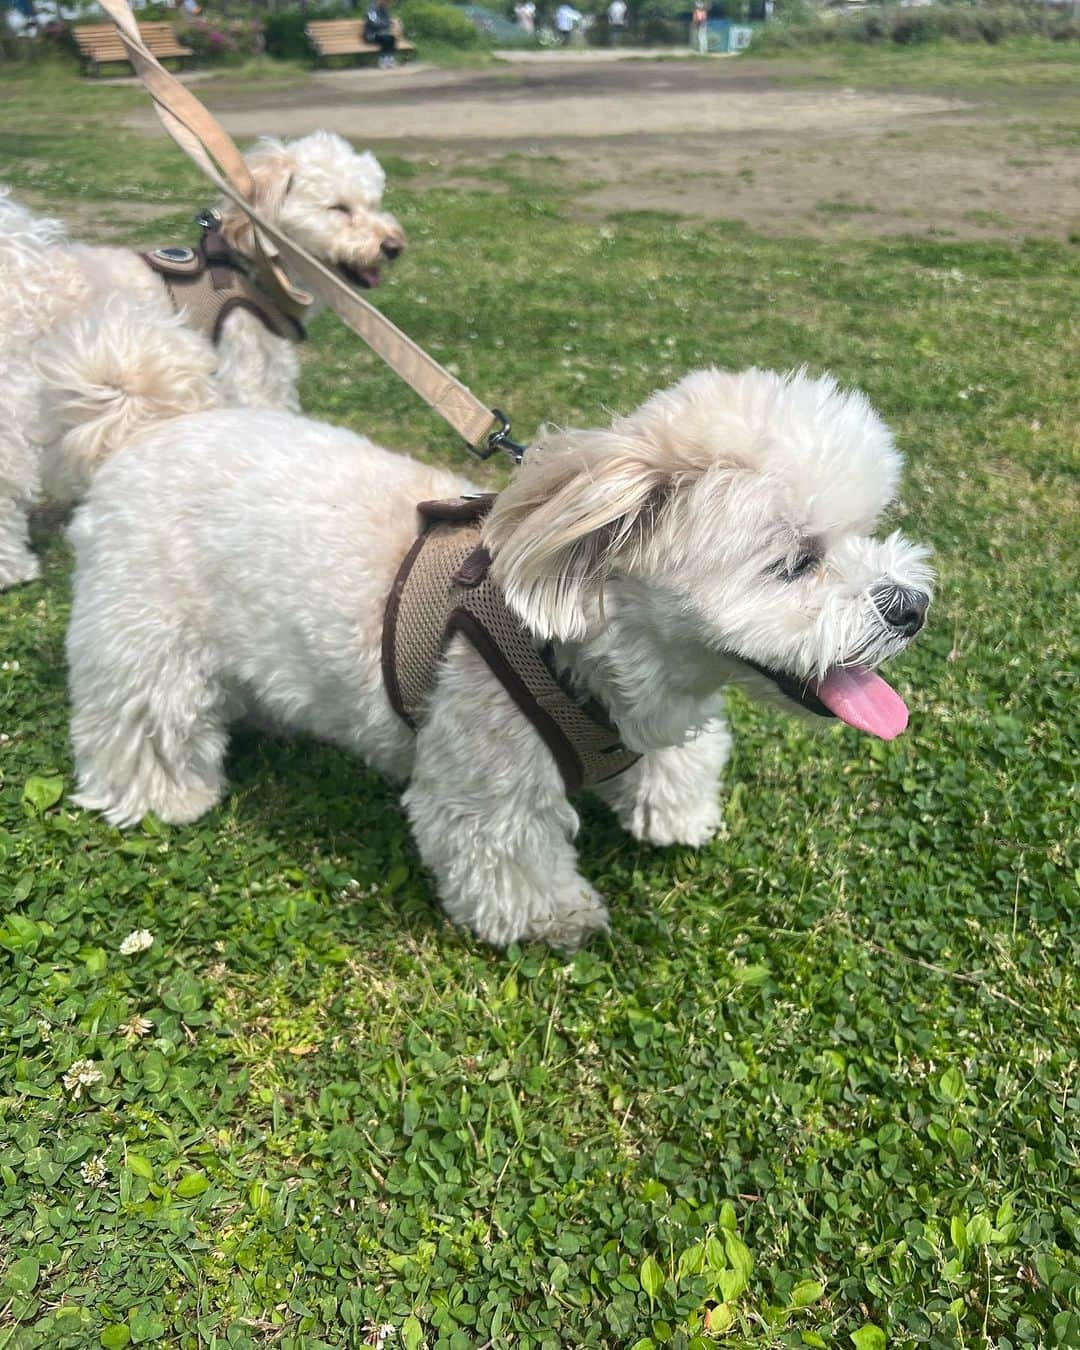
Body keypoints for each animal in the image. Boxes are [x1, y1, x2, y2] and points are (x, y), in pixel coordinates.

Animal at [0, 128, 405, 588]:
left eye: (373, 203)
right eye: (339, 208)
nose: (394, 246)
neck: (250, 272)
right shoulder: (247, 375)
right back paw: (13, 569)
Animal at [65, 364, 928, 945]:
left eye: (868, 531)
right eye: (797, 562)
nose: (911, 606)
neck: (580, 651)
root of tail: (146, 426)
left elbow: (679, 758)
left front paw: (674, 811)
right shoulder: (489, 777)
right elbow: (509, 850)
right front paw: (556, 917)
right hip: (146, 635)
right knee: (143, 717)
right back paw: (167, 794)